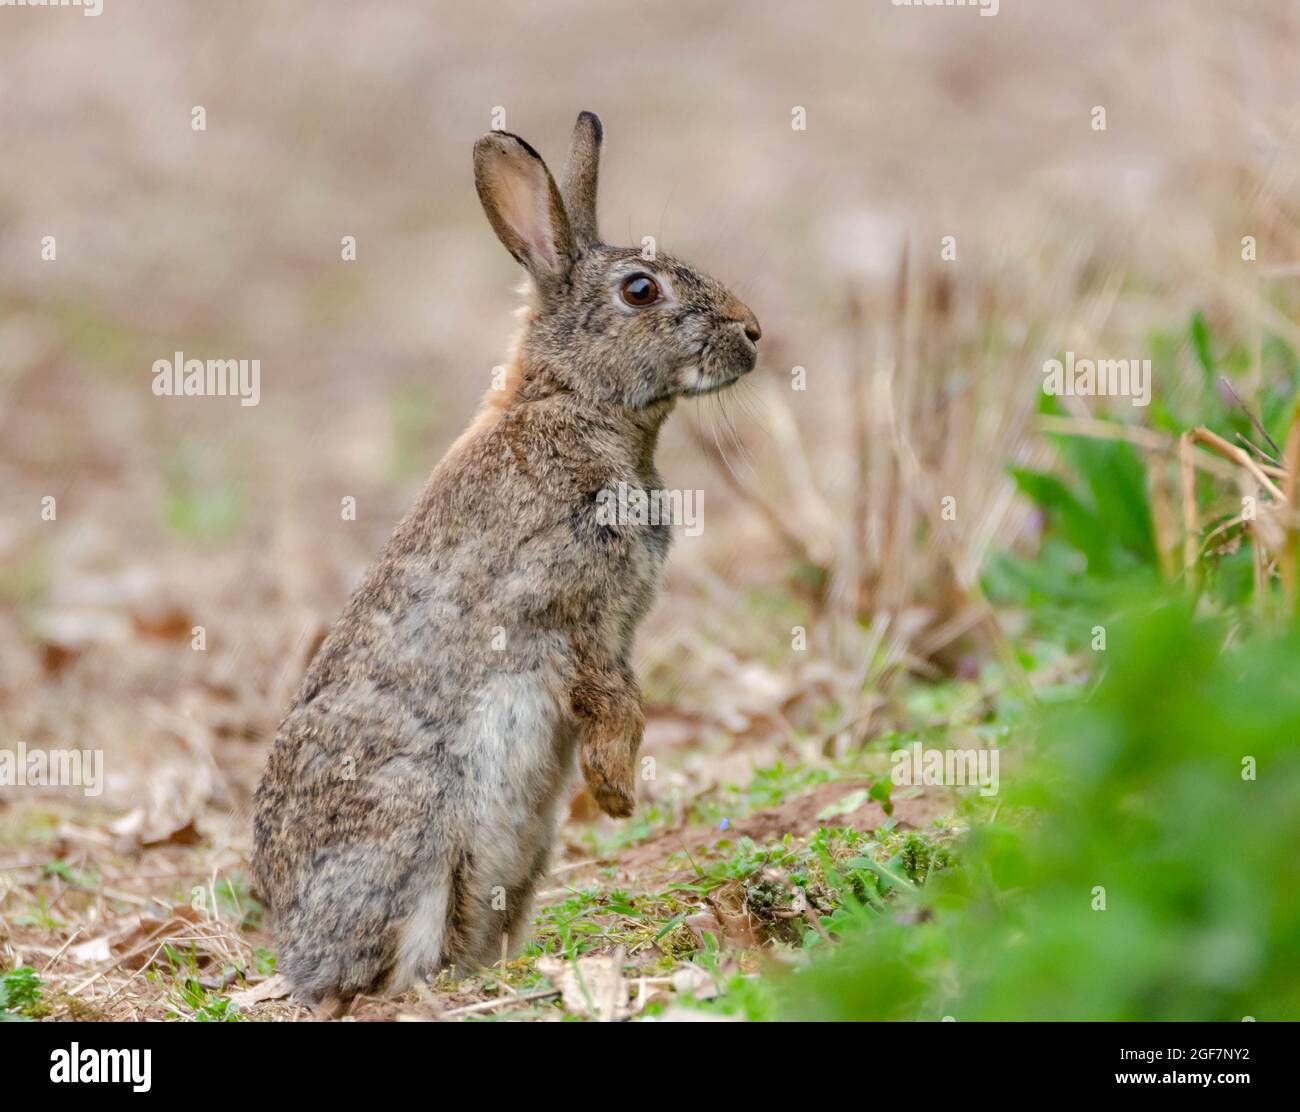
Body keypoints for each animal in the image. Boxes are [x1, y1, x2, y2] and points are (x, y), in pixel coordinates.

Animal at [251, 111, 762, 1013]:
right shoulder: (559, 612)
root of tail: (294, 954)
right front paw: (618, 793)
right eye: (640, 290)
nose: (753, 333)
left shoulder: (613, 630)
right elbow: (609, 698)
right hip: (412, 832)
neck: (573, 408)